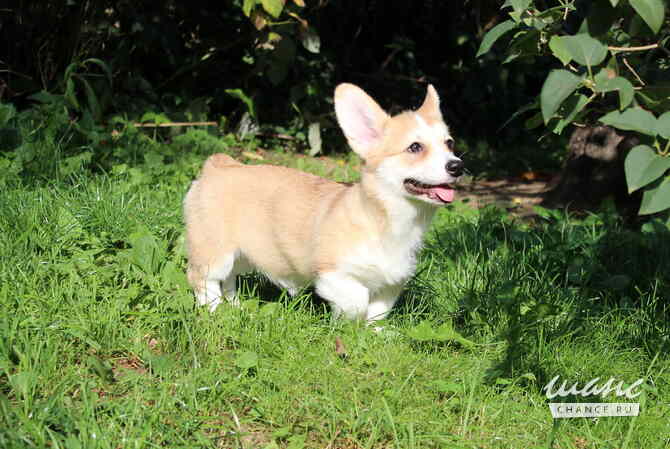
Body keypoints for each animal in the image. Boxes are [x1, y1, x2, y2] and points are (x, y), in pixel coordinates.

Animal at [185, 83, 468, 322]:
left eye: (449, 143)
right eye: (415, 148)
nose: (457, 166)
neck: (392, 219)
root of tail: (218, 166)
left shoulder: (392, 283)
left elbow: (377, 313)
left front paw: (371, 335)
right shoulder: (333, 273)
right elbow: (357, 300)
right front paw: (346, 324)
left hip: (244, 253)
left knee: (230, 279)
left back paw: (235, 307)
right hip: (214, 251)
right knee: (202, 279)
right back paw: (214, 311)